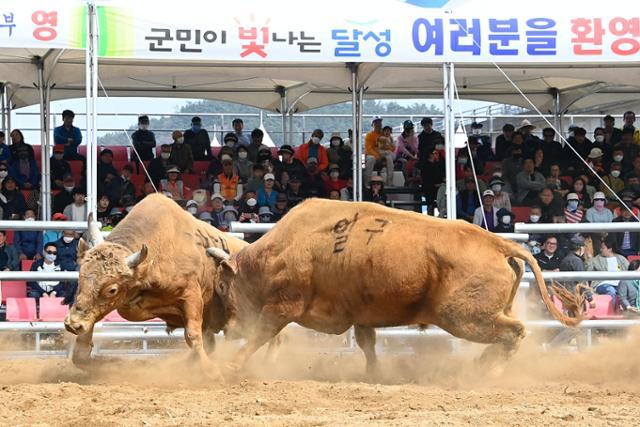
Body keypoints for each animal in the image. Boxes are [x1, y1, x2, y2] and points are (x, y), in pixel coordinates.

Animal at [65, 193, 245, 374]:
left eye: (112, 290)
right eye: (80, 277)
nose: (72, 324)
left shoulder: (192, 296)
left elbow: (192, 335)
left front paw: (211, 371)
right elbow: (83, 344)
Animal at [208, 200, 584, 374]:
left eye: (223, 287)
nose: (228, 328)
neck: (281, 250)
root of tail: (498, 243)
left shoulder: (283, 305)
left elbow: (261, 333)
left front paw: (232, 365)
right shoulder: (360, 314)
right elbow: (367, 343)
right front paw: (374, 373)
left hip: (464, 318)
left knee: (515, 331)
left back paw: (487, 368)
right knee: (510, 334)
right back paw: (483, 364)